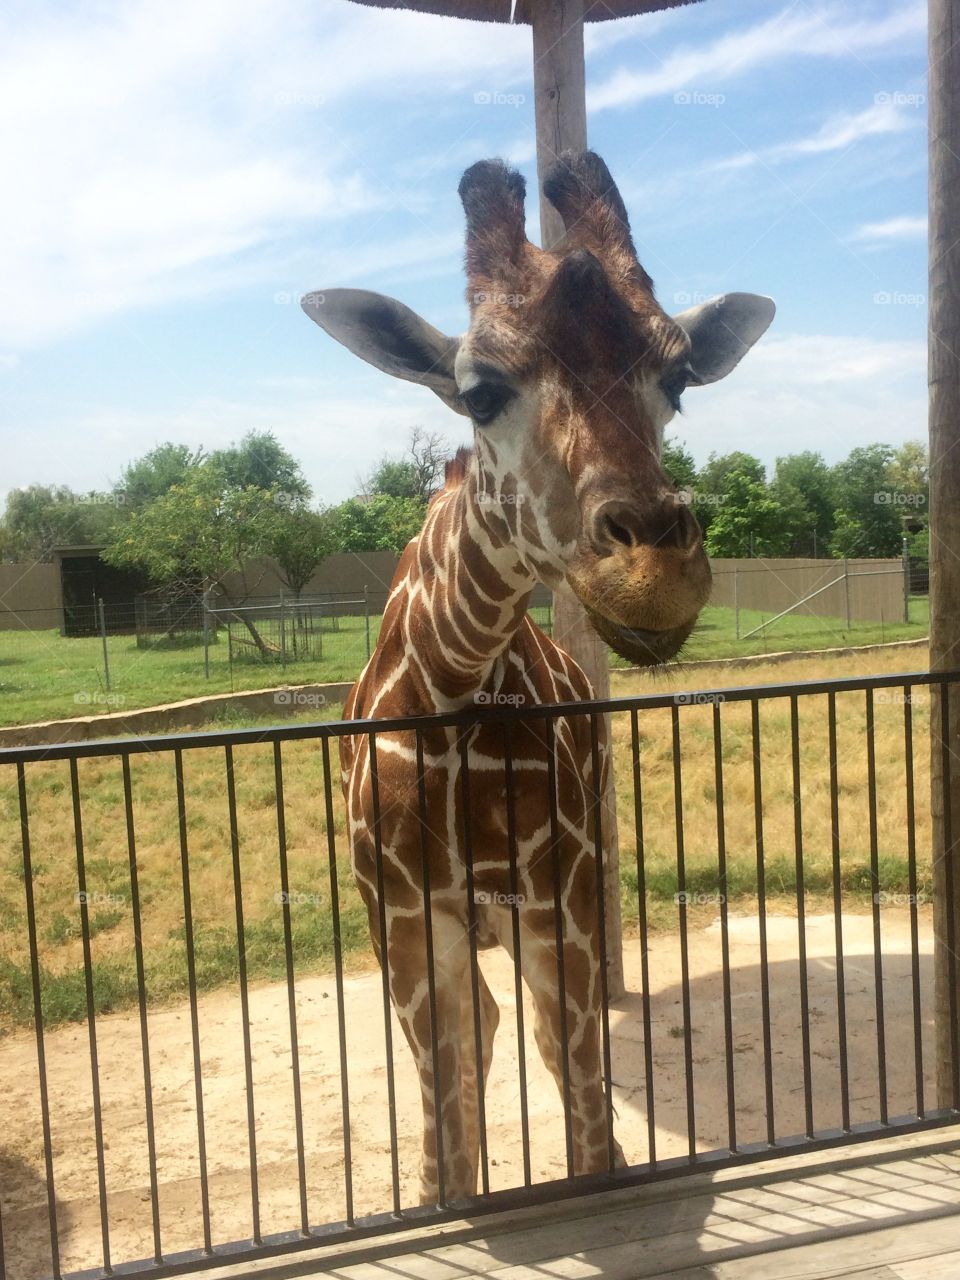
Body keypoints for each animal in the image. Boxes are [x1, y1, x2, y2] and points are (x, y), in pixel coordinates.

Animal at [304, 154, 778, 1203]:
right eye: (479, 391)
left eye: (677, 377)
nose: (652, 575)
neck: (450, 681)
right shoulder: (404, 916)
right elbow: (449, 1092)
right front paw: (445, 1201)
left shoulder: (557, 899)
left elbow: (583, 1099)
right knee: (478, 1035)